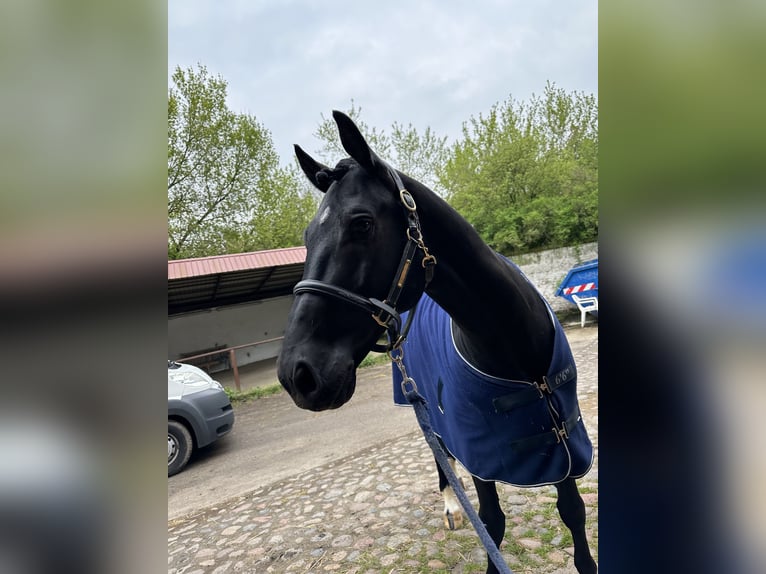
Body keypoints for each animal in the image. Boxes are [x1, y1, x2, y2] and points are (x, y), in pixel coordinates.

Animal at [278, 110, 600, 572]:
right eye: (307, 237)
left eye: (362, 223)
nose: (297, 374)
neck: (519, 351)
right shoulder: (481, 452)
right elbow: (492, 523)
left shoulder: (565, 446)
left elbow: (573, 513)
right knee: (438, 451)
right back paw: (451, 506)